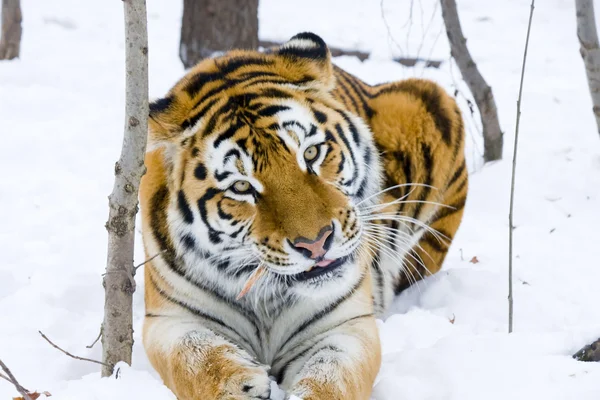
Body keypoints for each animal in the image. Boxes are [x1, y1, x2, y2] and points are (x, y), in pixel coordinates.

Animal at [141, 32, 468, 400]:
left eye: (311, 153)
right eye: (241, 186)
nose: (316, 244)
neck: (266, 299)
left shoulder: (345, 325)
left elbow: (330, 376)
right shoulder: (169, 320)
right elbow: (196, 359)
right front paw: (242, 387)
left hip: (429, 101)